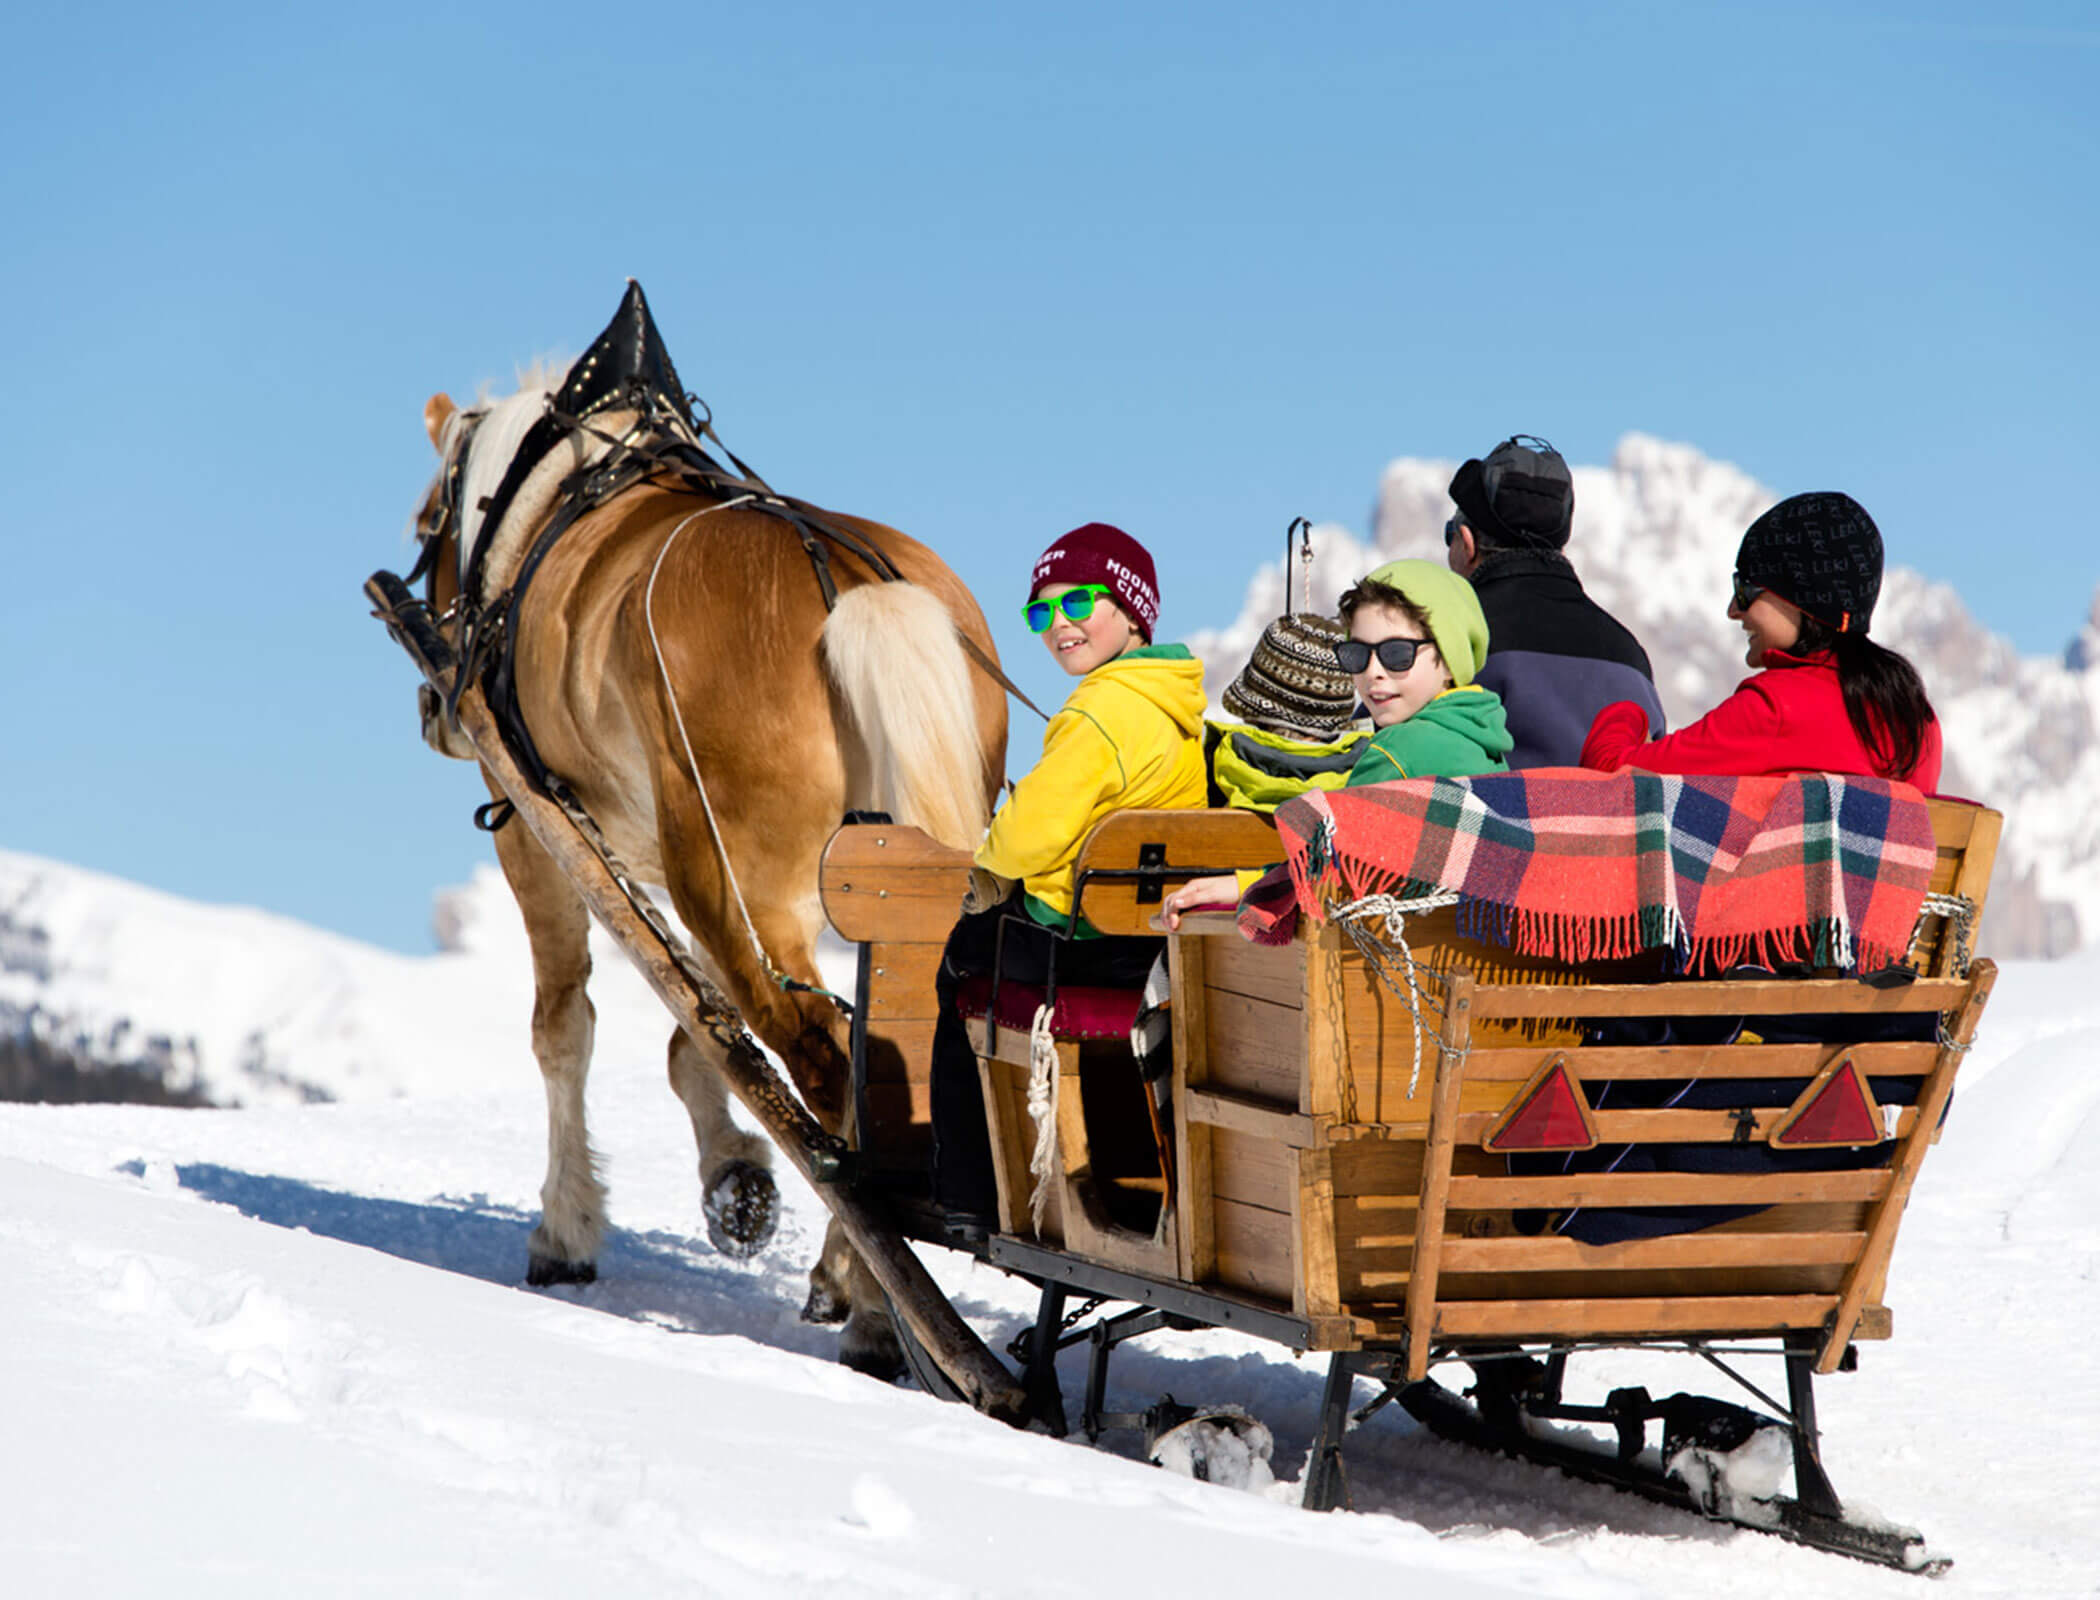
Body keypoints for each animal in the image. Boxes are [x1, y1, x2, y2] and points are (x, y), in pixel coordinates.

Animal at [404, 309, 1006, 1375]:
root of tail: (849, 589)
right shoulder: (659, 865)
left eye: (427, 520)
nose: (436, 711)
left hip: (736, 890)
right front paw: (737, 1183)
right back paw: (851, 1285)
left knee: (824, 1068)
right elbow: (701, 1039)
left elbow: (565, 1027)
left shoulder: (541, 832)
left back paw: (878, 1314)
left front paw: (567, 1232)